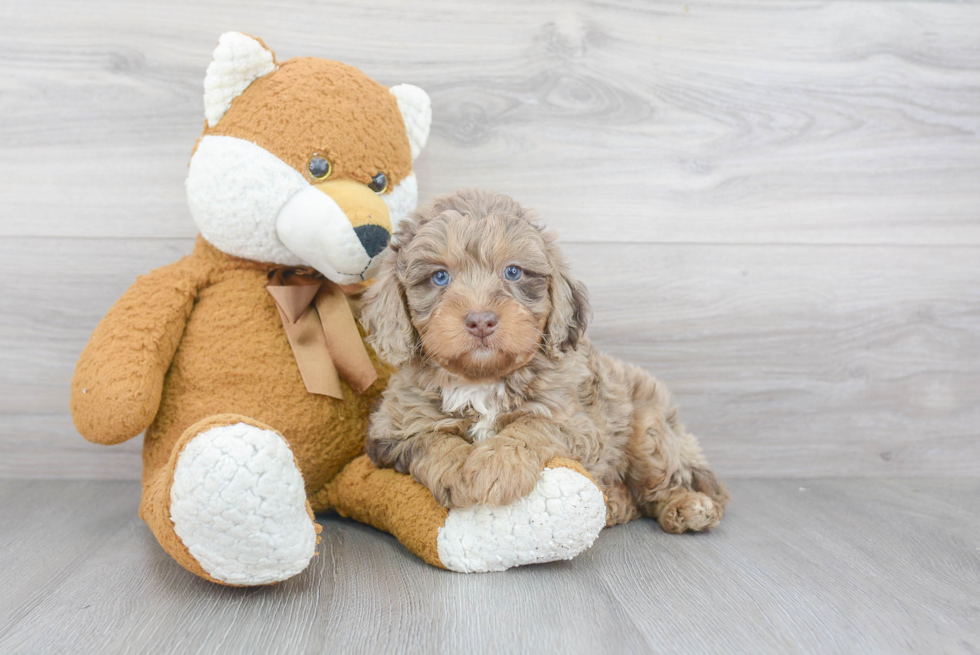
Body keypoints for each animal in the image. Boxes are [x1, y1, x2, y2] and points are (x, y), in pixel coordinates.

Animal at [360, 190, 728, 532]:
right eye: (439, 277)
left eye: (513, 272)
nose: (480, 320)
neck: (482, 380)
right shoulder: (393, 430)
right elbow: (432, 440)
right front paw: (457, 471)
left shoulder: (574, 420)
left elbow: (532, 426)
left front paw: (497, 467)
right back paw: (615, 503)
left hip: (649, 431)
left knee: (663, 483)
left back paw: (687, 506)